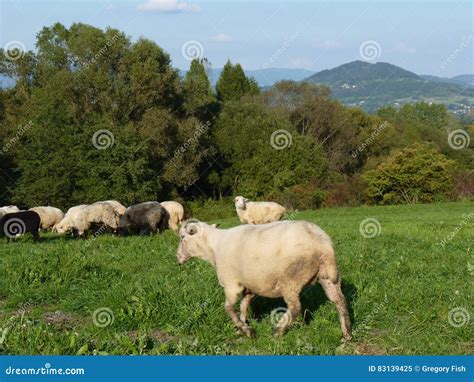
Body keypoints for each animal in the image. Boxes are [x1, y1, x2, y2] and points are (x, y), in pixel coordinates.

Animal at [178, 219, 352, 342]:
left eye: (182, 237)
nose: (178, 258)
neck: (212, 248)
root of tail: (323, 243)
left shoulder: (231, 284)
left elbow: (228, 308)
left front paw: (247, 331)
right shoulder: (249, 287)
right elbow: (243, 306)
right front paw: (242, 327)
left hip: (291, 280)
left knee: (295, 307)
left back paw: (278, 331)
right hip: (327, 275)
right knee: (339, 301)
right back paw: (347, 334)